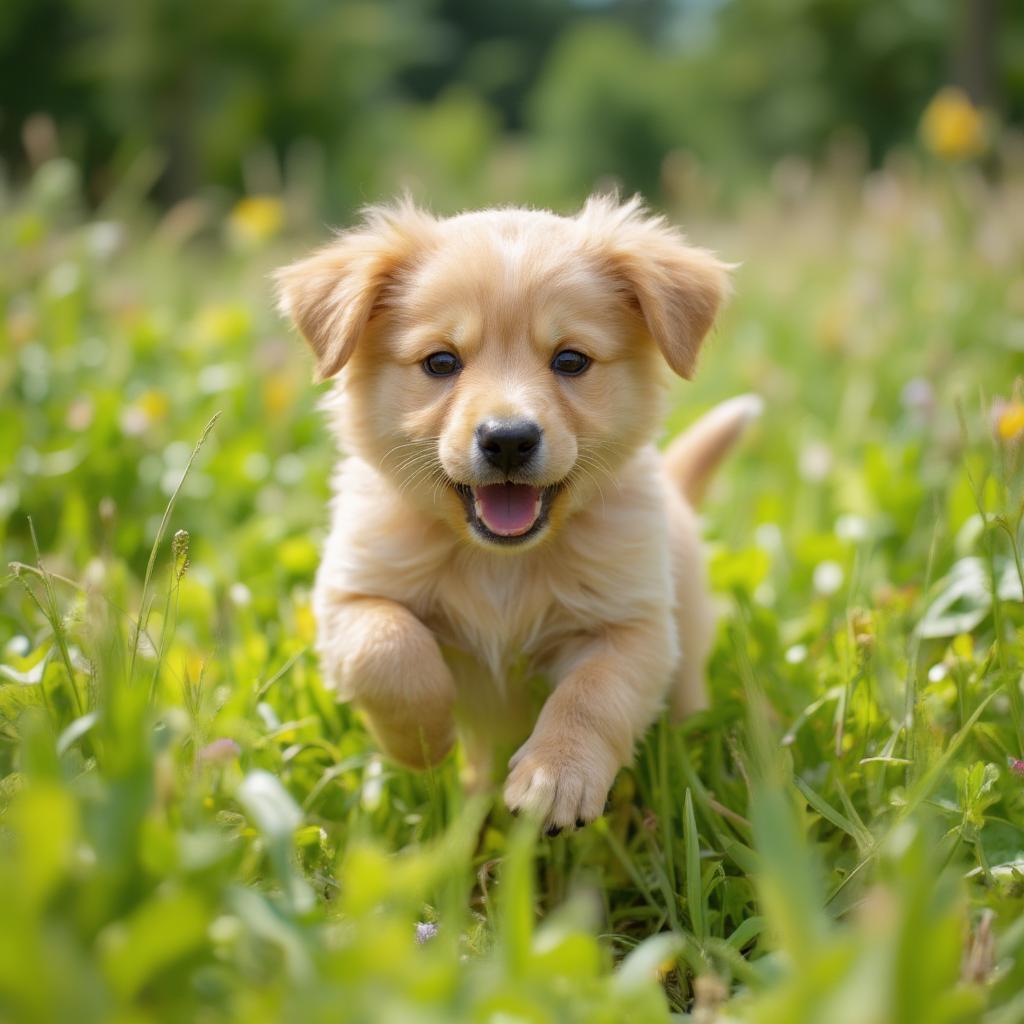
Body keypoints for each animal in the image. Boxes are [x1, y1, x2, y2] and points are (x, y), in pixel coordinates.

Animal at [274, 192, 761, 831]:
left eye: (571, 360)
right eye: (440, 363)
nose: (508, 440)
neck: (498, 561)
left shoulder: (633, 626)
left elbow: (592, 696)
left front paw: (556, 777)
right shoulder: (350, 595)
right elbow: (390, 650)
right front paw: (422, 743)